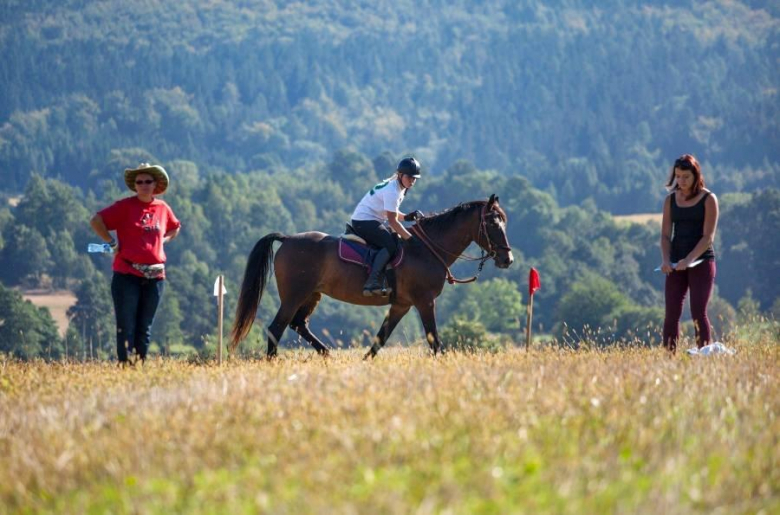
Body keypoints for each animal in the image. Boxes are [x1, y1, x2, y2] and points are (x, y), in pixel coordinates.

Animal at [229, 194, 516, 358]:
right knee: (276, 328)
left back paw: (327, 354)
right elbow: (434, 341)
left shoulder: (401, 305)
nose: (507, 260)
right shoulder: (425, 302)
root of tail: (288, 239)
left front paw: (366, 362)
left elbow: (380, 339)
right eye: (492, 222)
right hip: (294, 295)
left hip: (312, 295)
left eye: (504, 221)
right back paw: (274, 362)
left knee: (298, 324)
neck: (427, 249)